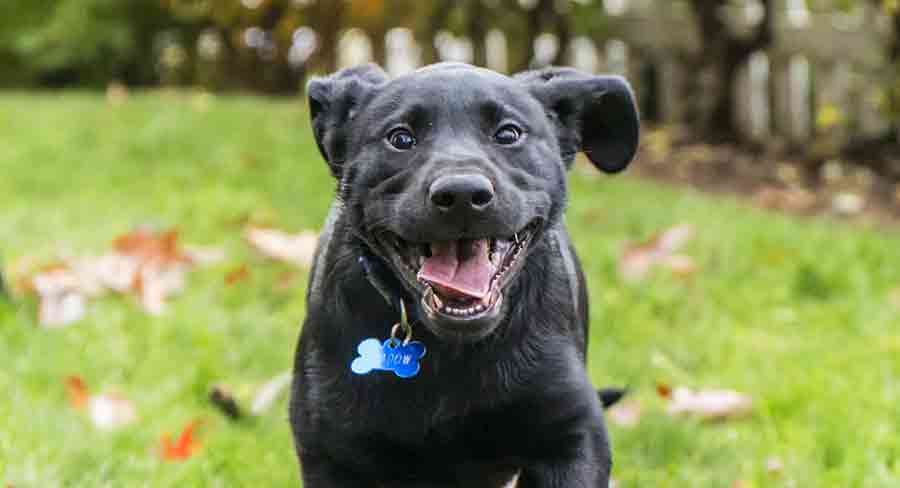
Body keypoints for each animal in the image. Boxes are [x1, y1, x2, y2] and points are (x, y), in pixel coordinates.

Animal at [290, 63, 640, 486]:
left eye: (508, 133)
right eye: (400, 138)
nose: (461, 194)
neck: (449, 350)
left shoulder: (572, 434)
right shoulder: (331, 451)